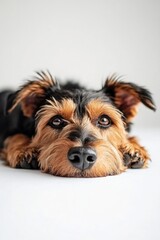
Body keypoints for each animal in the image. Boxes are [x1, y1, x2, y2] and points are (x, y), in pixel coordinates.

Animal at [0, 70, 156, 177]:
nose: (82, 155)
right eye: (56, 121)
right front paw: (24, 149)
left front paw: (134, 148)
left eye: (104, 120)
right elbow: (15, 136)